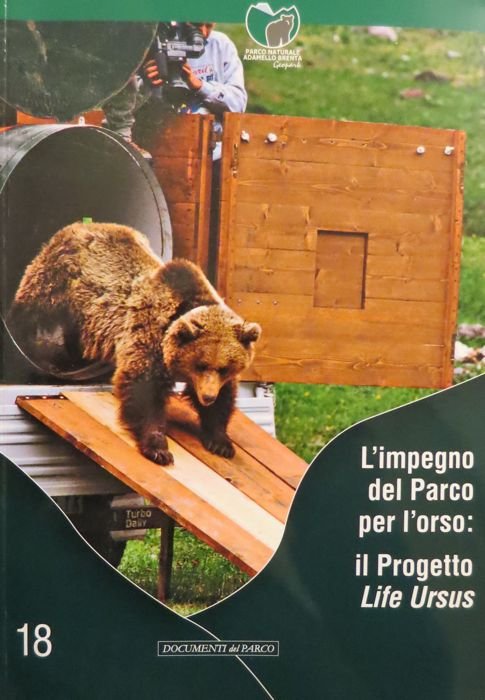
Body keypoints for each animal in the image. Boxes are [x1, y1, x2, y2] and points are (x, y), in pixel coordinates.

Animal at [10, 222, 262, 465]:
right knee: (31, 308)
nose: (208, 397)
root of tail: (81, 224)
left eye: (224, 368)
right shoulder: (149, 331)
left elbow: (224, 398)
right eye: (200, 364)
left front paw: (220, 441)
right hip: (57, 277)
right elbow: (143, 387)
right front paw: (158, 449)